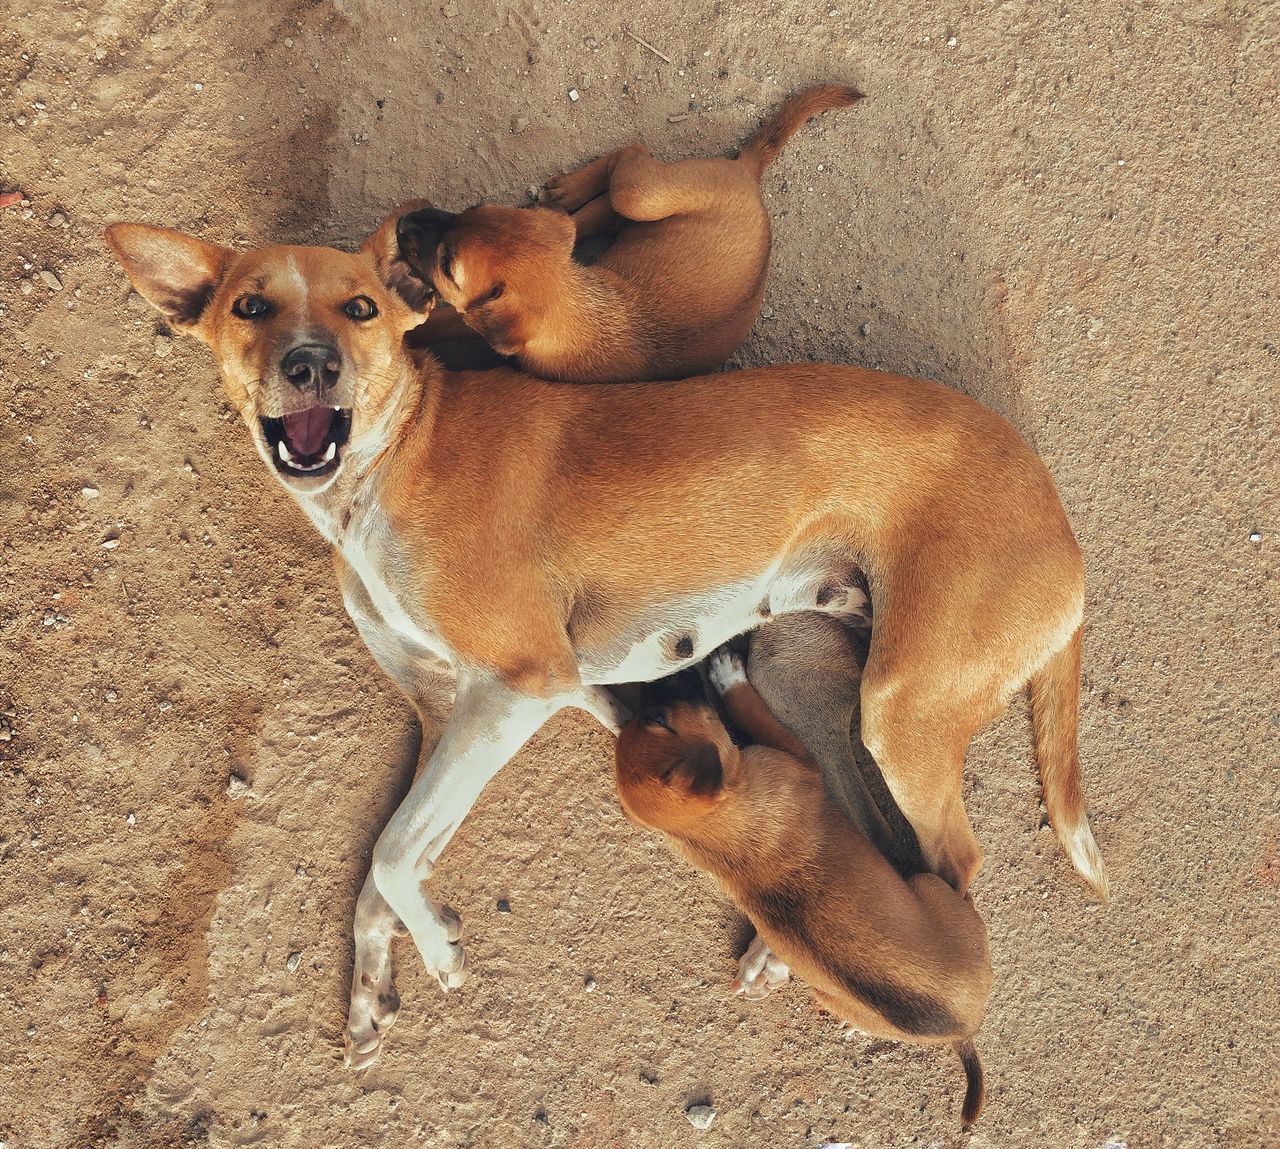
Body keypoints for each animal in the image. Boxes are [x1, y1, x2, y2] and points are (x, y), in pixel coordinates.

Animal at [107, 212, 1111, 1064]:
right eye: (250, 306)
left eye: (360, 307)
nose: (311, 366)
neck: (387, 461)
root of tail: (1064, 529)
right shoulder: (456, 711)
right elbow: (387, 857)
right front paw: (374, 978)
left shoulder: (520, 686)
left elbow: (392, 852)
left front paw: (437, 949)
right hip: (808, 667)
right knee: (861, 813)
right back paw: (785, 945)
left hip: (899, 705)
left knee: (955, 859)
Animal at [394, 86, 865, 381]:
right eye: (472, 208)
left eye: (447, 264)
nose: (403, 222)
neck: (579, 305)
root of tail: (747, 171)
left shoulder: (470, 318)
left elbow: (440, 321)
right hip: (640, 201)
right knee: (614, 178)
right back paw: (568, 191)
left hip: (639, 197)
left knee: (630, 158)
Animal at [614, 649, 993, 1125]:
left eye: (655, 717)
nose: (667, 674)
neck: (712, 830)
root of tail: (963, 1030)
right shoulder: (796, 757)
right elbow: (751, 710)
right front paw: (730, 676)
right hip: (927, 886)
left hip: (824, 990)